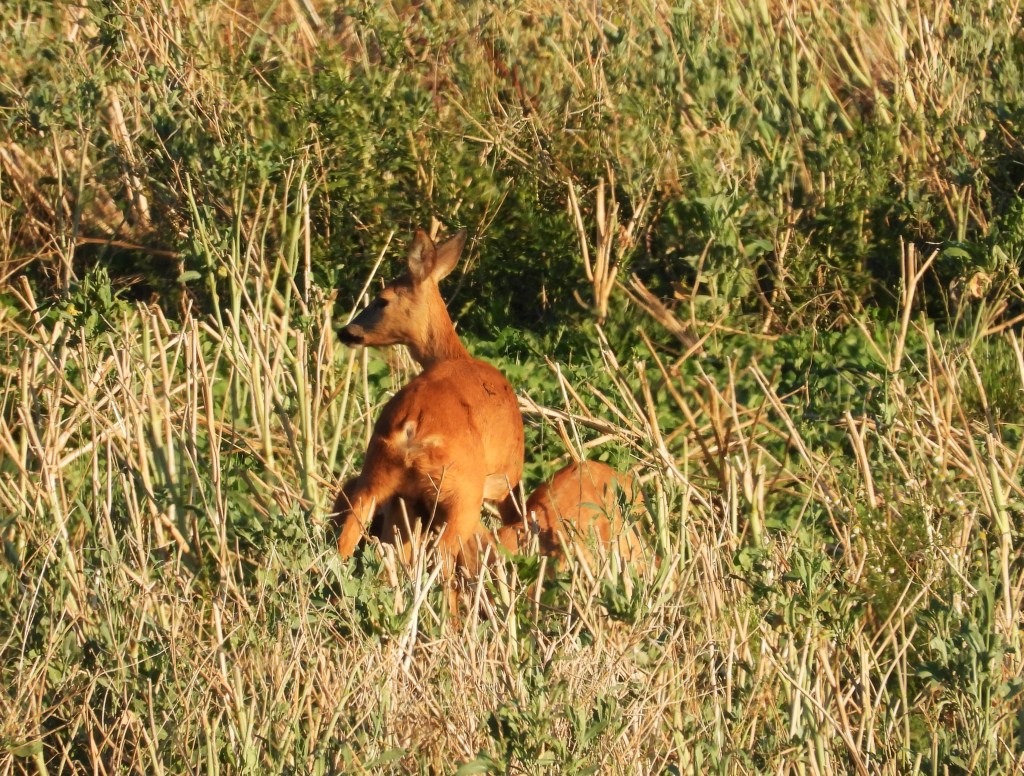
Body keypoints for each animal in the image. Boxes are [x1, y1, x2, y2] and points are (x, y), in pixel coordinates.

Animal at [332, 229, 525, 578]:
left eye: (381, 300)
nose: (346, 331)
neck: (454, 357)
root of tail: (412, 426)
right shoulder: (505, 481)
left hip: (377, 474)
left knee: (349, 539)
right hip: (461, 491)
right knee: (444, 557)